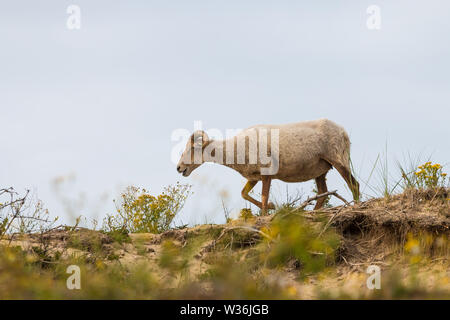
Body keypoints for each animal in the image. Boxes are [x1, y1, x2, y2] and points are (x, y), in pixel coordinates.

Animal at [176, 119, 358, 214]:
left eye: (192, 149)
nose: (179, 168)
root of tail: (343, 132)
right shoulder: (254, 178)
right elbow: (244, 194)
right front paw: (272, 207)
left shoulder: (266, 175)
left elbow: (263, 198)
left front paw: (266, 212)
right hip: (320, 172)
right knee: (322, 193)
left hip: (339, 162)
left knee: (354, 185)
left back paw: (356, 205)